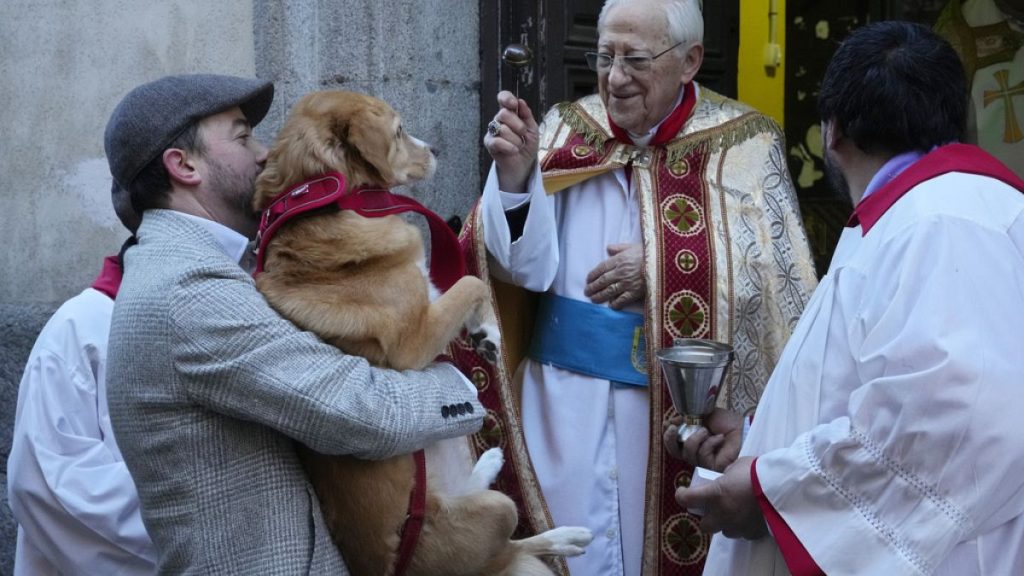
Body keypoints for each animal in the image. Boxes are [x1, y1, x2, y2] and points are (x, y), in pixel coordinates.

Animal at [246, 90, 593, 573]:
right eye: (398, 131)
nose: (436, 149)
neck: (329, 205)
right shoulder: (413, 343)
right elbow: (469, 282)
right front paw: (488, 332)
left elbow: (460, 286)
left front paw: (482, 332)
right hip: (497, 511)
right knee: (509, 548)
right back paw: (563, 537)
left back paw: (489, 466)